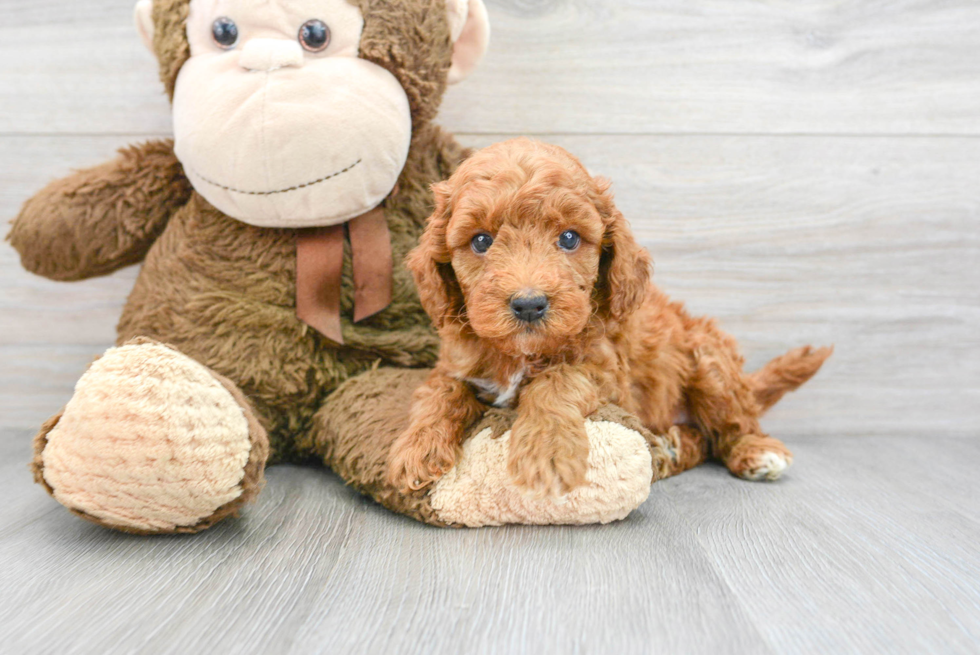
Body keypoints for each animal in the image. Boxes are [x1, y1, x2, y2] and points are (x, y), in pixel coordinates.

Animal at [386, 140, 832, 498]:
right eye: (481, 241)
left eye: (569, 238)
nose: (529, 304)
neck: (522, 354)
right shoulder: (455, 365)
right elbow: (440, 394)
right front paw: (415, 449)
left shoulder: (606, 373)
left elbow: (556, 382)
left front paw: (547, 452)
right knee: (702, 441)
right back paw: (669, 447)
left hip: (710, 361)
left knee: (732, 425)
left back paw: (755, 451)